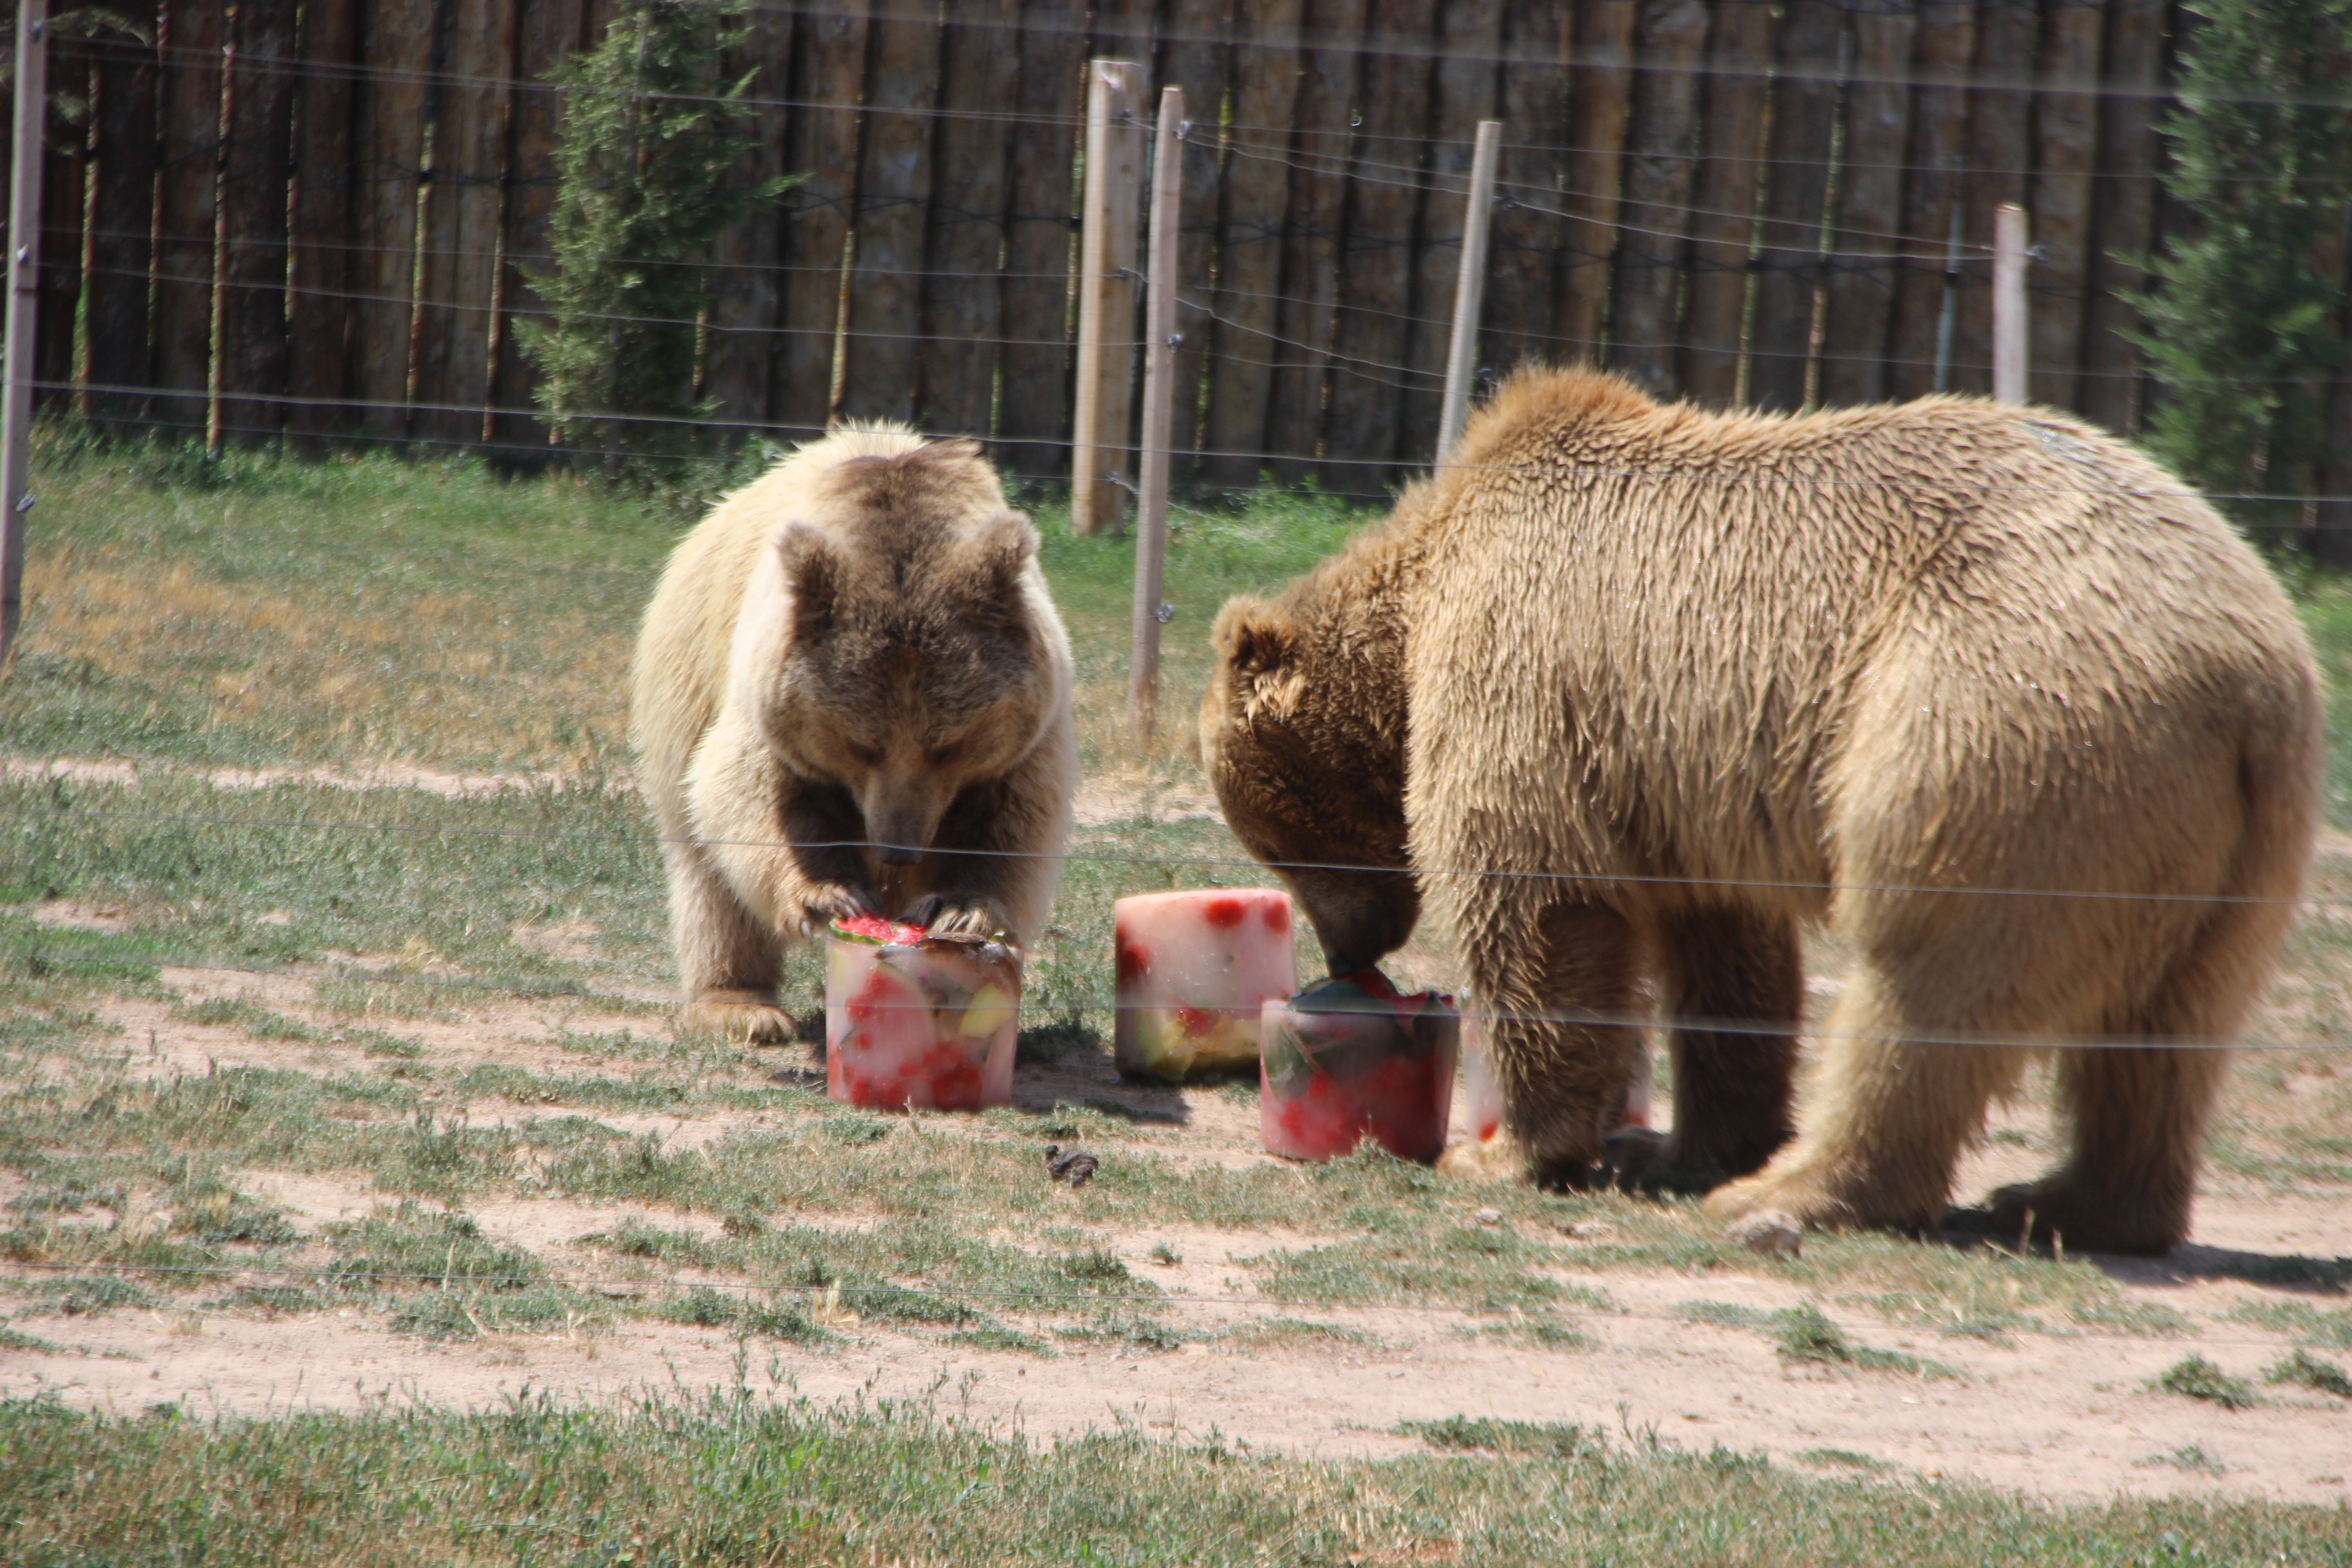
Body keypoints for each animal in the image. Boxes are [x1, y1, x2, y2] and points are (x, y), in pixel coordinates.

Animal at [625, 430, 1068, 1043]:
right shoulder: (765, 697)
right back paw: (740, 1007)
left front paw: (963, 908)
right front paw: (828, 894)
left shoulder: (1027, 734)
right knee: (709, 877)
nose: (897, 849)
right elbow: (751, 792)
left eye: (948, 745)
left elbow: (1015, 822)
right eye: (861, 744)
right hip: (684, 681)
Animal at [1204, 364, 2323, 1250]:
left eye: (1277, 842)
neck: (1413, 612)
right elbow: (1725, 952)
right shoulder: (1681, 777)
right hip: (2227, 836)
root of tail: (2249, 671)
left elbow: (1537, 899)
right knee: (2165, 1029)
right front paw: (1691, 1142)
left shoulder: (1522, 673)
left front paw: (1511, 1149)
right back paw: (2074, 1202)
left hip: (2001, 729)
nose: (1349, 952)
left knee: (1930, 976)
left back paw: (1798, 1192)